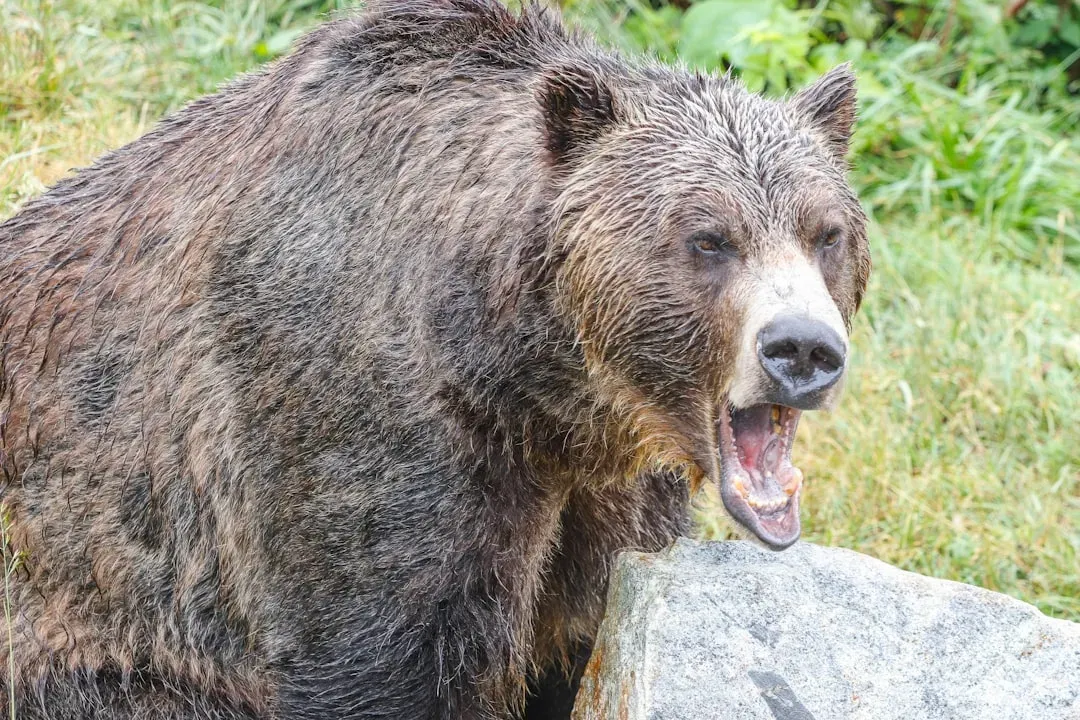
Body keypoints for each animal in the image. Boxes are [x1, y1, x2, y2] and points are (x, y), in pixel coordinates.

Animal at [0, 0, 871, 717]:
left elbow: (580, 636)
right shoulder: (366, 436)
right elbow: (377, 650)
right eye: (709, 238)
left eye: (825, 232)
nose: (802, 348)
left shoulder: (604, 502)